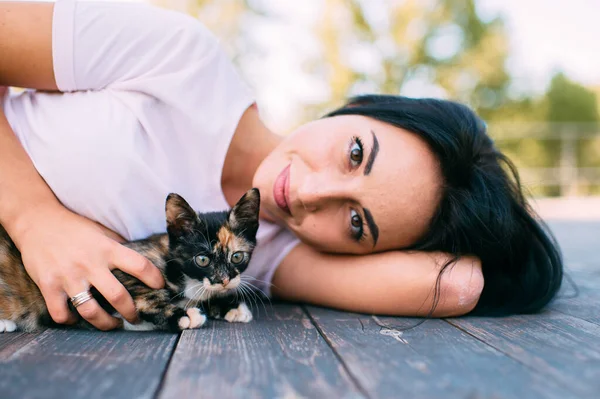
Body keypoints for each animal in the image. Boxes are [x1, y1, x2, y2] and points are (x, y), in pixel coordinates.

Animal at [0, 189, 258, 332]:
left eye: (237, 257)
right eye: (202, 259)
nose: (224, 280)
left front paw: (231, 307)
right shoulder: (110, 276)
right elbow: (144, 298)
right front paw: (183, 316)